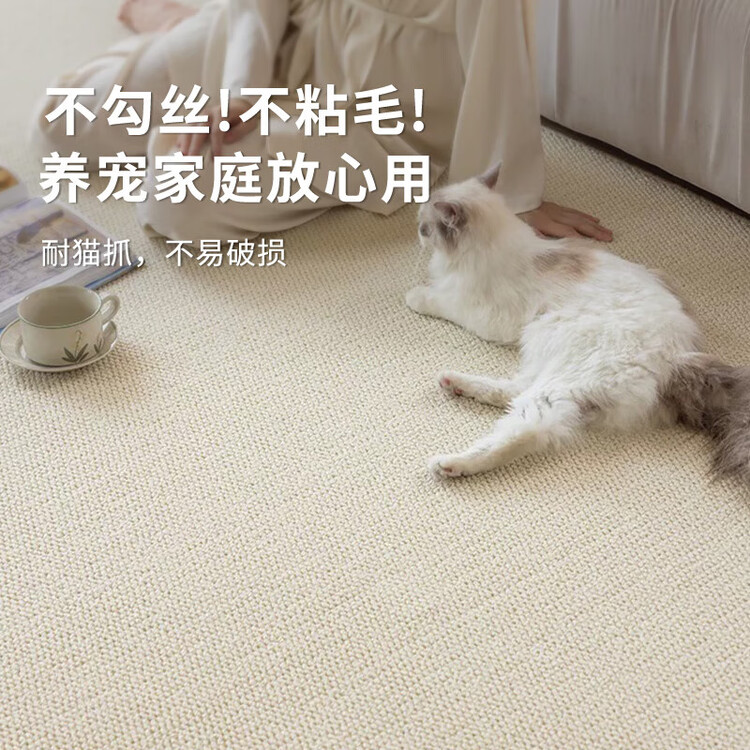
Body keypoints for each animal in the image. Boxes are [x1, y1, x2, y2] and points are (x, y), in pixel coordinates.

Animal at [406, 164, 750, 483]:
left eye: (425, 228)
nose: (416, 230)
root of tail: (679, 358)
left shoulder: (481, 313)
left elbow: (439, 300)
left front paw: (415, 296)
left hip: (562, 370)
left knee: (528, 428)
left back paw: (452, 463)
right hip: (545, 351)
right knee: (516, 389)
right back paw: (454, 383)